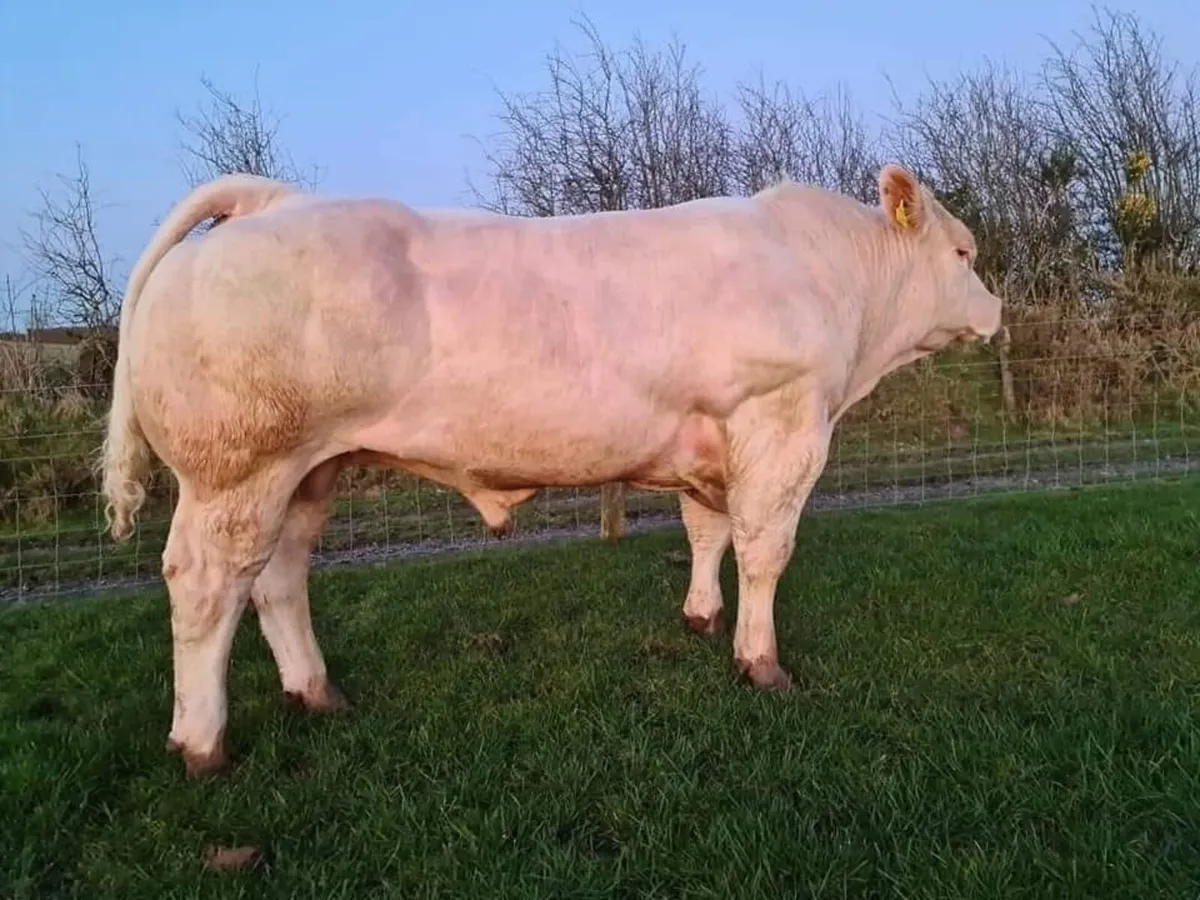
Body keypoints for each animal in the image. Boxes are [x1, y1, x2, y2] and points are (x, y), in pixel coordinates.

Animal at [100, 164, 1004, 778]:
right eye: (965, 251)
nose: (997, 310)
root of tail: (274, 201)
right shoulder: (780, 420)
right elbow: (765, 549)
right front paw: (762, 663)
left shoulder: (713, 439)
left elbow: (707, 531)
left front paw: (702, 617)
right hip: (237, 470)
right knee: (207, 583)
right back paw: (203, 742)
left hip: (308, 471)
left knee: (278, 577)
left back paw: (317, 693)